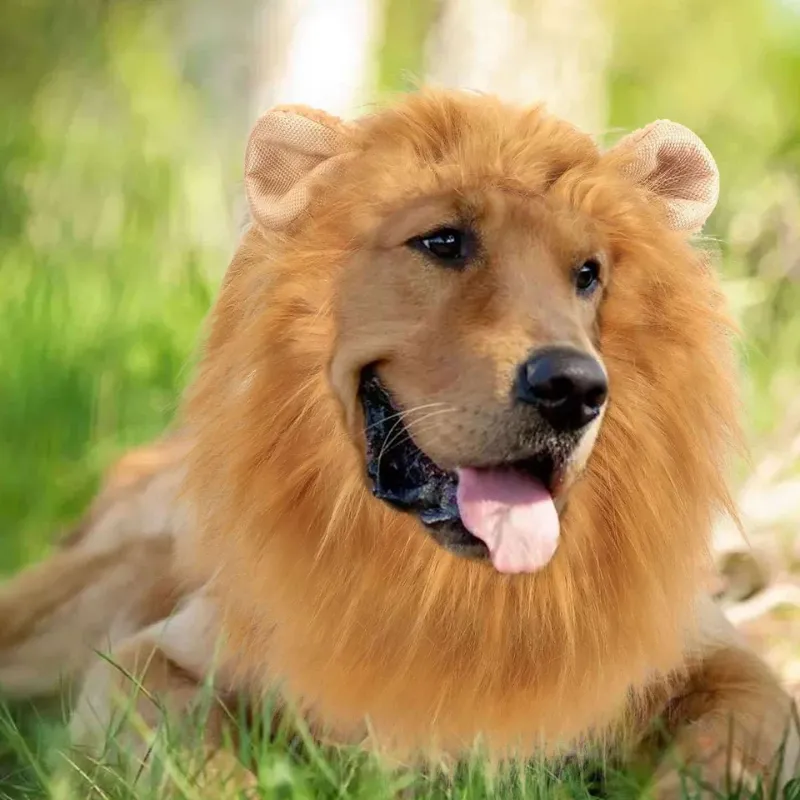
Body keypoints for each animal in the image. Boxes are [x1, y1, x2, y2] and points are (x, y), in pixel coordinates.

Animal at [1, 89, 798, 796]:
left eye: (589, 274)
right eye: (442, 241)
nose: (575, 388)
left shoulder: (722, 663)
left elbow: (728, 746)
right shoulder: (150, 657)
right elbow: (199, 761)